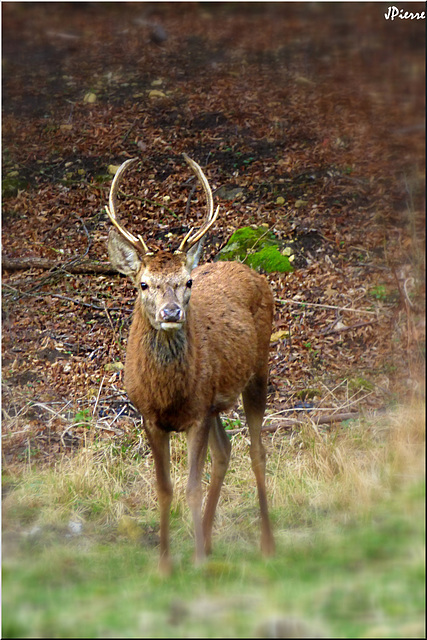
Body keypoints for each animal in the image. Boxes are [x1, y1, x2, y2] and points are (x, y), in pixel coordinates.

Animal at [105, 155, 276, 576]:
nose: (171, 312)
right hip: (215, 400)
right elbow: (164, 488)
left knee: (257, 452)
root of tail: (250, 270)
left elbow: (191, 487)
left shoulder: (196, 414)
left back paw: (266, 544)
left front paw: (196, 560)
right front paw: (166, 563)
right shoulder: (150, 416)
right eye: (143, 284)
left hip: (259, 369)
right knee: (225, 451)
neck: (168, 394)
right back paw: (212, 542)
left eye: (187, 282)